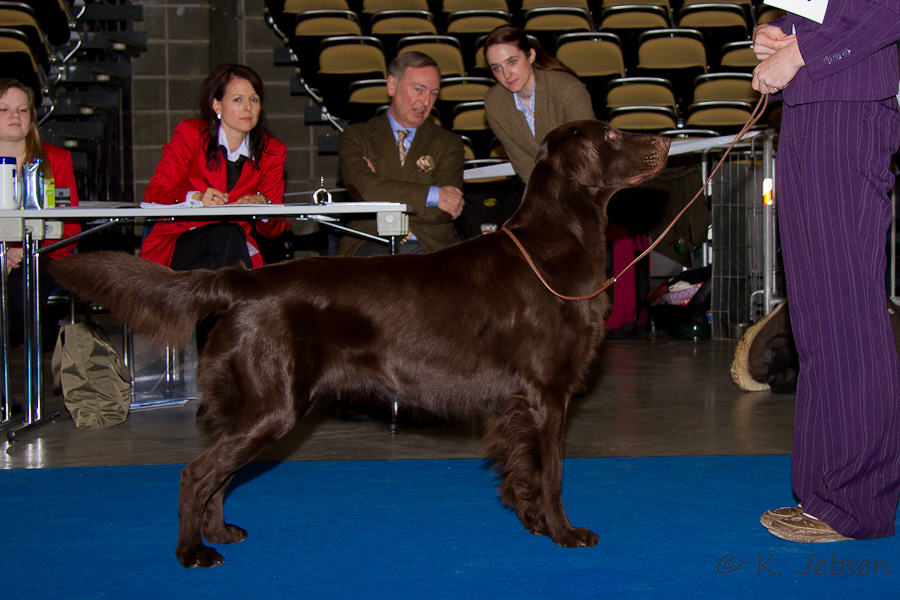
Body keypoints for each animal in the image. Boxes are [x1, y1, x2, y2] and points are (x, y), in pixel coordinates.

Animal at [49, 120, 669, 568]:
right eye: (612, 135)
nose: (665, 139)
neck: (554, 244)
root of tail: (242, 280)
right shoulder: (546, 393)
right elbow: (554, 474)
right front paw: (565, 533)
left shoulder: (521, 404)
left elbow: (526, 473)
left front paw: (535, 524)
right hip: (273, 404)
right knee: (196, 473)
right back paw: (191, 553)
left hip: (253, 405)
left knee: (219, 474)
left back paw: (219, 532)